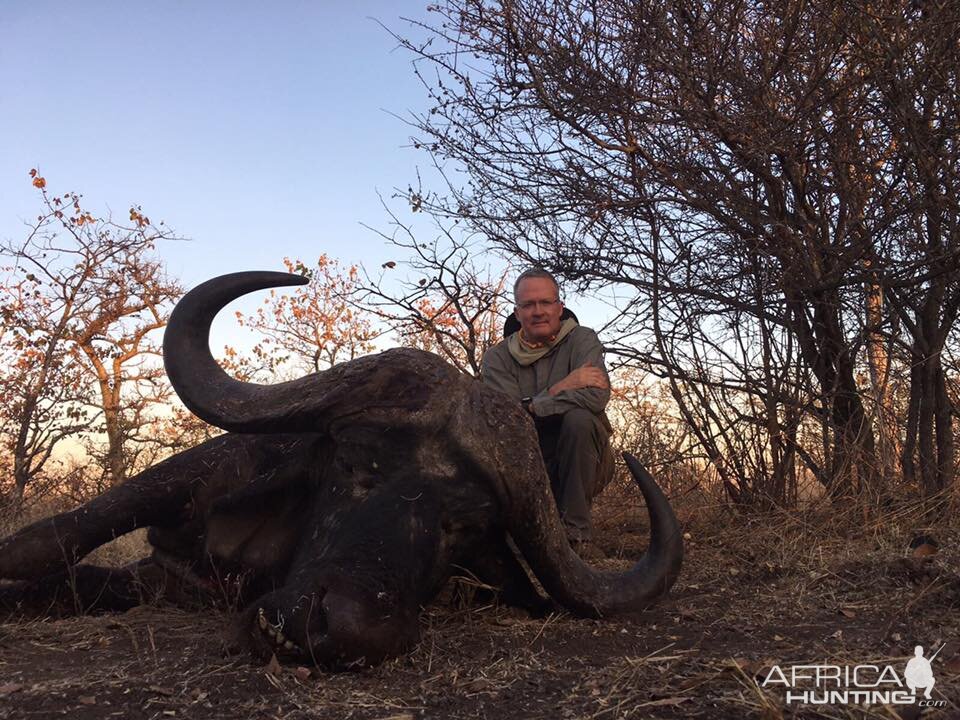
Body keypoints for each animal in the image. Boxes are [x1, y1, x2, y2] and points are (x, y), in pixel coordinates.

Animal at [0, 272, 684, 668]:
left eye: (462, 529)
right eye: (356, 463)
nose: (338, 626)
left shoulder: (163, 582)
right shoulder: (197, 476)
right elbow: (63, 532)